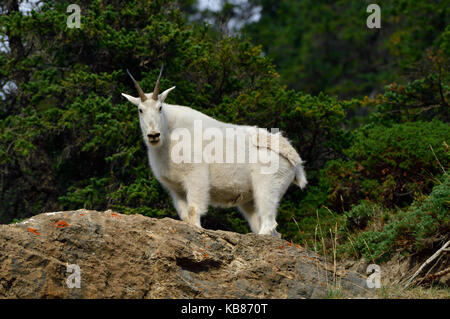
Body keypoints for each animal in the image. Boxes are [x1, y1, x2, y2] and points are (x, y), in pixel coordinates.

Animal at [121, 67, 308, 238]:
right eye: (140, 110)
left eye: (160, 108)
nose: (153, 135)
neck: (169, 135)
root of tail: (295, 161)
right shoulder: (176, 188)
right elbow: (184, 215)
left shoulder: (196, 177)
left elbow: (194, 210)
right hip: (250, 199)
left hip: (268, 185)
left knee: (269, 221)